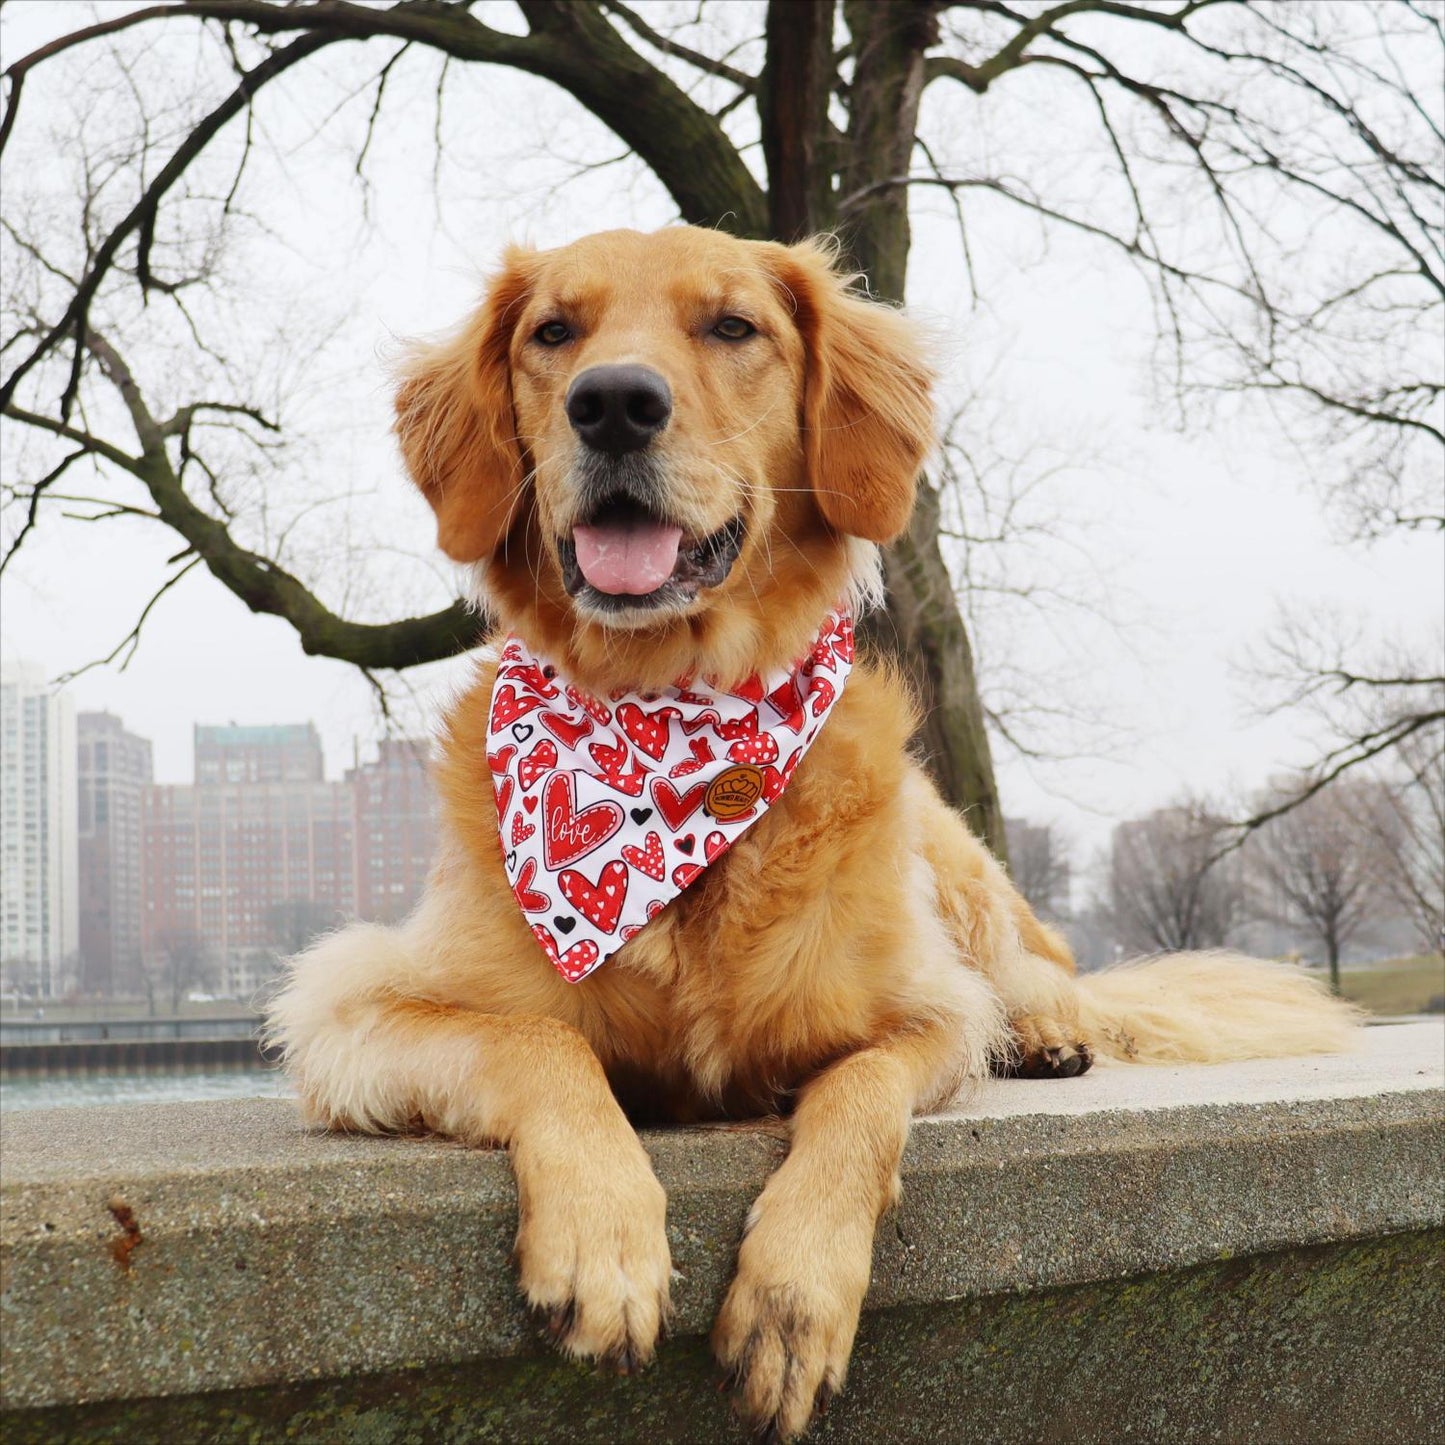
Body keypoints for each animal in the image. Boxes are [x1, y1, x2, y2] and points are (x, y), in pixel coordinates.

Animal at [265, 225, 1358, 1445]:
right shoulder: (351, 1009)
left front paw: (793, 1294)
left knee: (1041, 970)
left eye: (732, 325)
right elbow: (536, 1040)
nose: (612, 404)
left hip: (956, 863)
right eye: (552, 332)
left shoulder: (922, 1013)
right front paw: (604, 1235)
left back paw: (1046, 1032)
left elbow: (859, 1097)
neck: (673, 724)